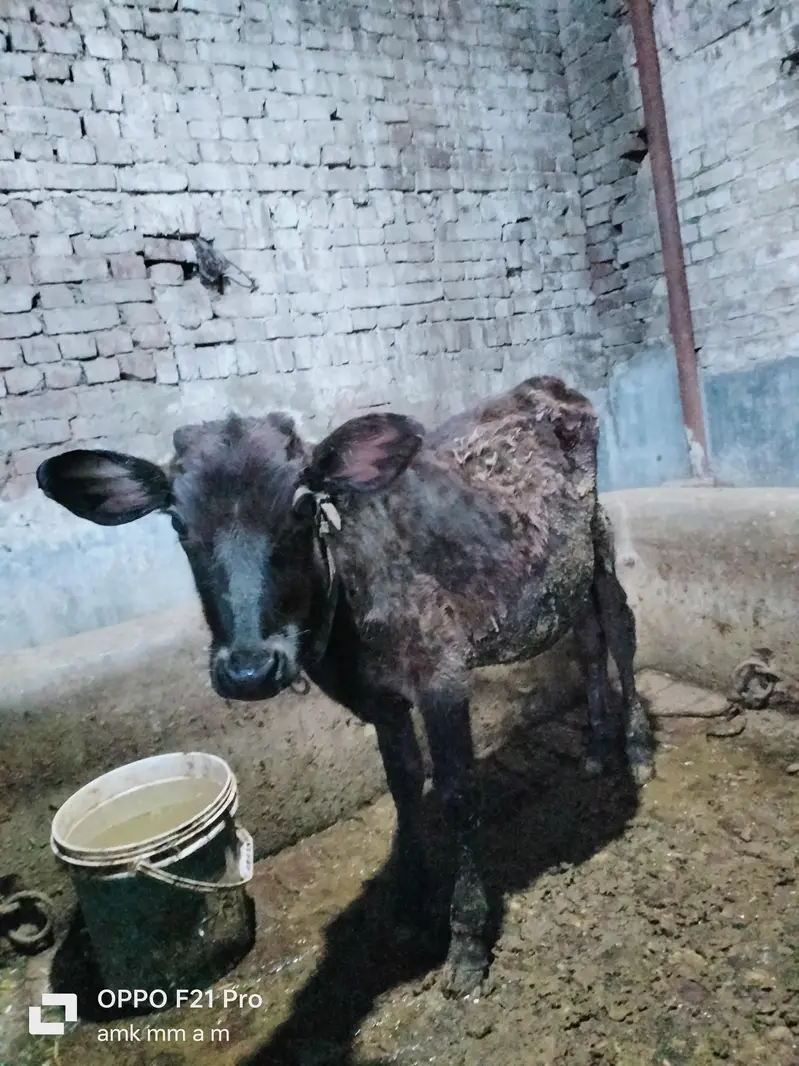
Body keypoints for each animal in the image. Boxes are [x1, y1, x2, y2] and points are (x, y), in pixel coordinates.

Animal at [36, 376, 653, 997]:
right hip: (563, 575)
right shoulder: (380, 701)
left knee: (620, 630)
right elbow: (403, 787)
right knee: (588, 638)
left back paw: (636, 747)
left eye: (303, 505)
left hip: (597, 537)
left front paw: (467, 941)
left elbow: (457, 796)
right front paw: (411, 902)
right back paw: (596, 748)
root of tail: (545, 385)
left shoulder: (442, 673)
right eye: (177, 523)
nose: (249, 670)